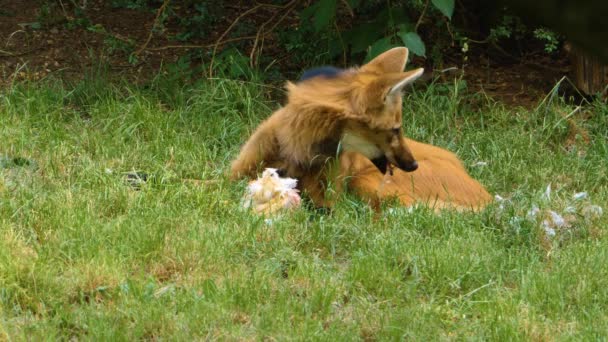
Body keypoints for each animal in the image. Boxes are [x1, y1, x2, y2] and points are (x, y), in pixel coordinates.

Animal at [230, 46, 492, 211]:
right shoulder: (234, 175)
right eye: (395, 129)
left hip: (365, 180)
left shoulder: (334, 198)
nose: (413, 165)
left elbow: (328, 208)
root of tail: (487, 197)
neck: (298, 153)